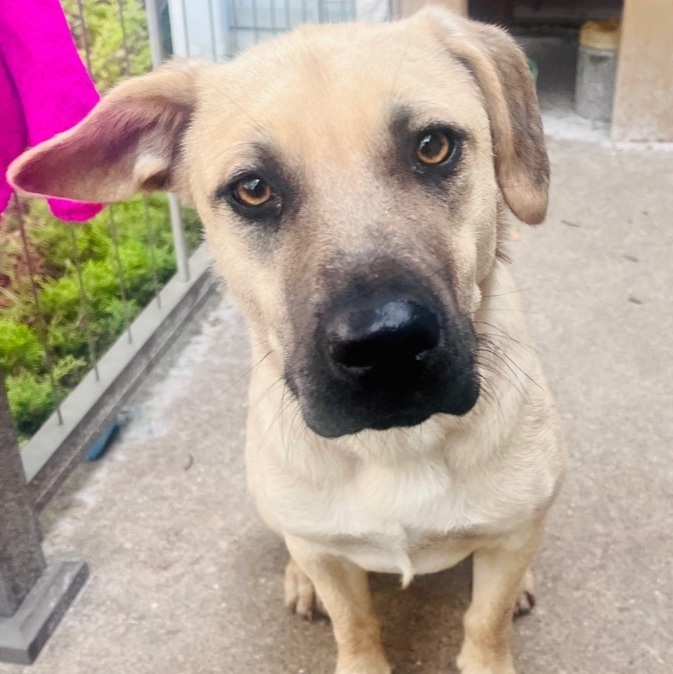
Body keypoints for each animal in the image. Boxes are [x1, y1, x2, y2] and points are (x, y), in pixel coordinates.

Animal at [10, 7, 568, 668]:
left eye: (433, 147)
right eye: (252, 189)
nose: (385, 346)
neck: (397, 446)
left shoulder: (510, 540)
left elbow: (486, 619)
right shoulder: (327, 554)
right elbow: (354, 625)